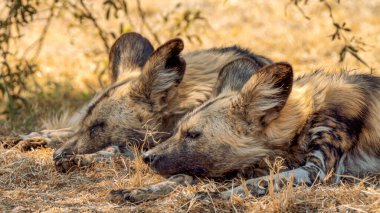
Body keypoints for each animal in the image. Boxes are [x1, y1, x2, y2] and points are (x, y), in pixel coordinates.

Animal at [19, 32, 272, 171]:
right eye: (86, 124)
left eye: (98, 127)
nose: (57, 155)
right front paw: (38, 137)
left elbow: (114, 152)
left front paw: (80, 159)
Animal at [108, 57, 380, 203]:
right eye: (176, 130)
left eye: (193, 135)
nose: (146, 157)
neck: (304, 117)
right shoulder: (234, 164)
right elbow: (183, 176)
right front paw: (140, 190)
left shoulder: (317, 171)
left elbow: (255, 184)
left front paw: (214, 196)